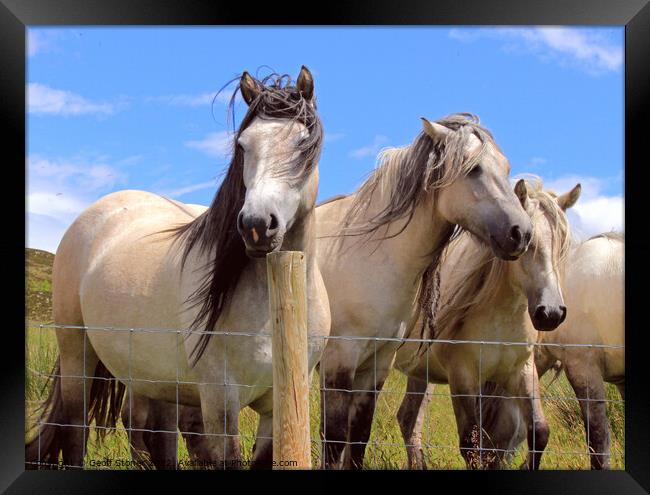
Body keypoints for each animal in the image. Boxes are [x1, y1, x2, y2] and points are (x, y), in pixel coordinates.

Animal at [24, 68, 330, 470]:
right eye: (243, 146)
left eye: (302, 143)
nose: (256, 225)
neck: (275, 306)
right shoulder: (220, 401)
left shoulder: (276, 406)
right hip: (79, 354)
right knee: (75, 430)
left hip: (152, 377)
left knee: (150, 432)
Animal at [390, 180, 576, 470]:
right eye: (528, 243)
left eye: (561, 247)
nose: (551, 313)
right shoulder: (463, 378)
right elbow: (471, 445)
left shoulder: (521, 373)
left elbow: (539, 432)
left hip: (420, 373)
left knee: (408, 419)